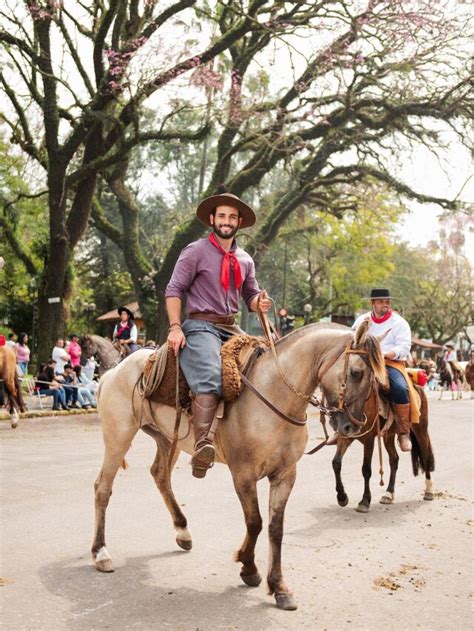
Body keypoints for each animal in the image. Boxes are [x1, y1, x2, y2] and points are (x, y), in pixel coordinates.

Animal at [90, 324, 386, 608]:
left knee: (160, 475)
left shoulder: (285, 475)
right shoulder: (243, 474)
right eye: (357, 372)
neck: (275, 393)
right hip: (118, 437)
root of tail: (115, 370)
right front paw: (248, 567)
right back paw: (101, 552)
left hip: (166, 438)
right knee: (103, 488)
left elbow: (275, 528)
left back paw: (183, 531)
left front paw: (279, 587)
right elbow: (255, 522)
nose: (351, 426)